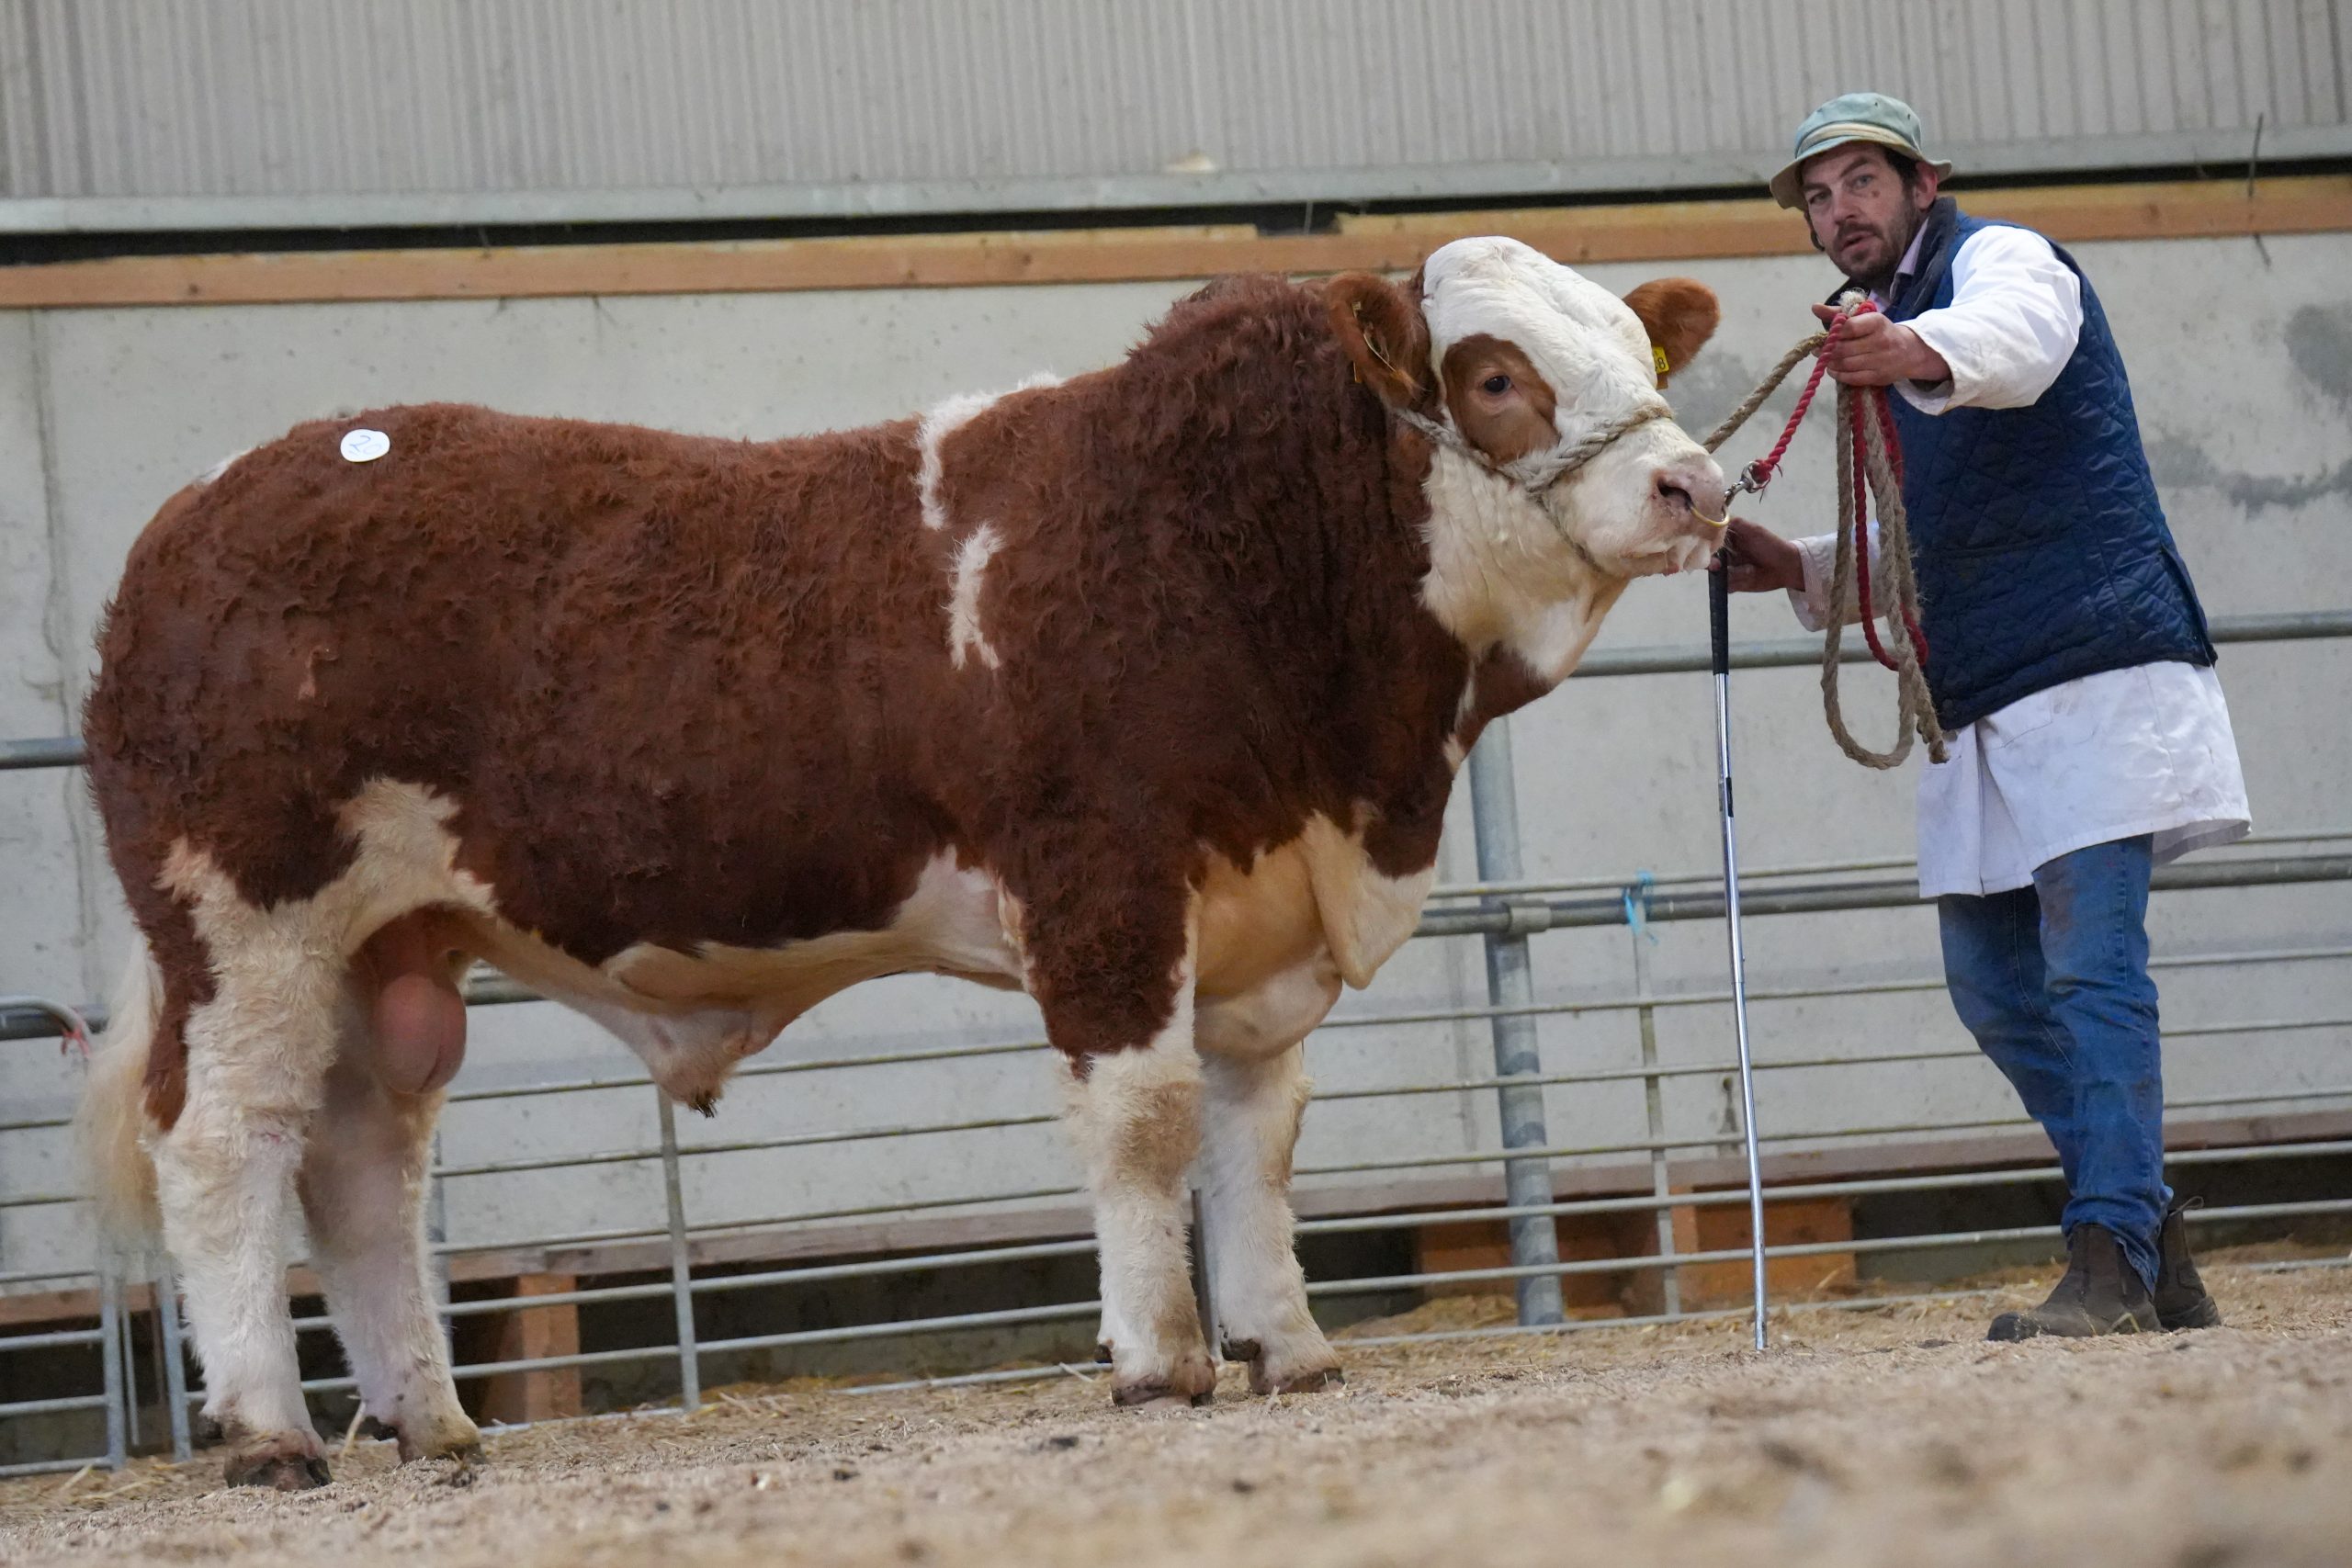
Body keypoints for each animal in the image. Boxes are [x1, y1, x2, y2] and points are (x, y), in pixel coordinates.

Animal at [78, 240, 1731, 1495]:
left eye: (1640, 352)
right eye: (1498, 376)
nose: (1697, 486)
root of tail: (193, 518)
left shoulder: (1258, 920)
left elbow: (1256, 1136)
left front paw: (1289, 1347)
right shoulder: (1102, 877)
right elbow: (1146, 1120)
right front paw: (1161, 1358)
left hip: (392, 944)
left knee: (361, 1160)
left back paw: (431, 1419)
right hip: (245, 919)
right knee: (224, 1142)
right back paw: (270, 1431)